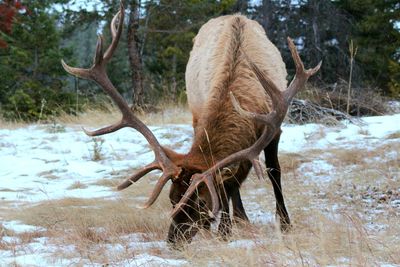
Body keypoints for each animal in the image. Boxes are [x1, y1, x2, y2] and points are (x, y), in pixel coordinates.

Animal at [61, 3, 320, 247]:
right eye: (172, 199)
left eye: (203, 202)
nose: (173, 240)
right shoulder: (200, 115)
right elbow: (231, 182)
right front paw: (225, 229)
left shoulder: (274, 126)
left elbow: (274, 171)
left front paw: (285, 224)